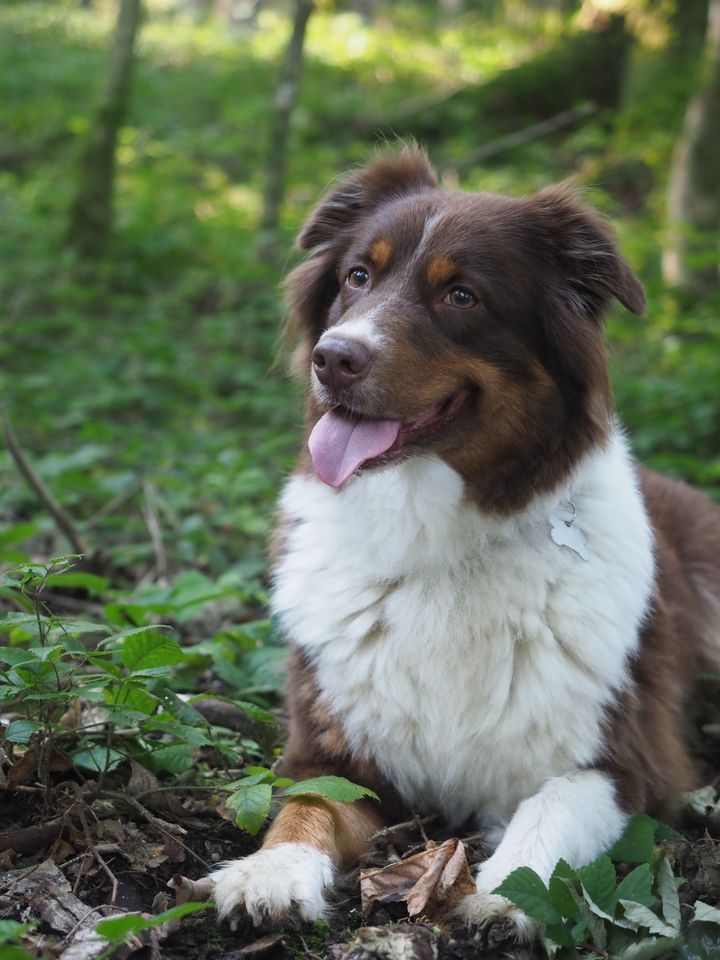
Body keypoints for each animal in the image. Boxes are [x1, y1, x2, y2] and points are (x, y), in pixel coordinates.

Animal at [208, 150, 720, 936]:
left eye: (461, 296)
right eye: (358, 276)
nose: (333, 358)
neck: (440, 547)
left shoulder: (627, 763)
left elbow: (550, 805)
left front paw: (506, 889)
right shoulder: (330, 746)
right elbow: (306, 804)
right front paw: (272, 872)